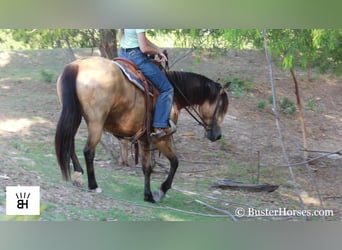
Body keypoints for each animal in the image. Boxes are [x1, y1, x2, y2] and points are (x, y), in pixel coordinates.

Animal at [54, 55, 228, 202]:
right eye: (221, 107)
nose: (217, 135)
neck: (174, 95)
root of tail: (77, 65)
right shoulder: (161, 138)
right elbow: (175, 162)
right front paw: (161, 191)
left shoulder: (145, 138)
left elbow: (147, 168)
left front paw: (148, 195)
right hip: (96, 122)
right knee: (88, 151)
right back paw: (93, 185)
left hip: (74, 114)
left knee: (69, 143)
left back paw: (78, 174)